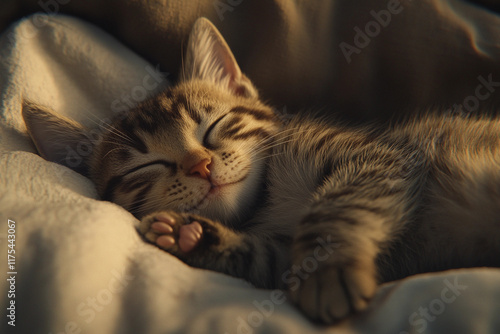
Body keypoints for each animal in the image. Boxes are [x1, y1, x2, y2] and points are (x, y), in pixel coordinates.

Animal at [22, 17, 500, 324]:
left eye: (214, 125)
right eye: (149, 163)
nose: (201, 165)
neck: (267, 205)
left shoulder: (382, 158)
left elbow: (335, 206)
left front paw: (329, 270)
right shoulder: (281, 251)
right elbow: (271, 261)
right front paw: (191, 236)